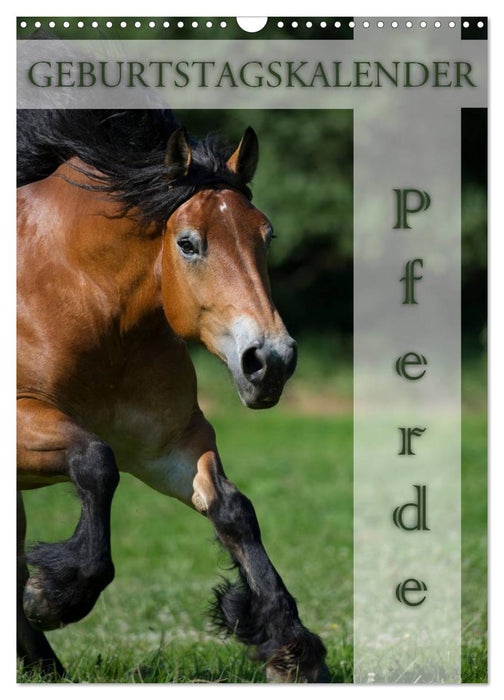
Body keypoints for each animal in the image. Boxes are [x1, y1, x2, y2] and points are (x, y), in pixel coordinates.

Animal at [16, 109, 329, 683]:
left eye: (267, 237)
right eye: (187, 243)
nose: (271, 362)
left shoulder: (168, 447)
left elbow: (233, 509)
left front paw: (291, 648)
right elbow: (96, 461)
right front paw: (52, 597)